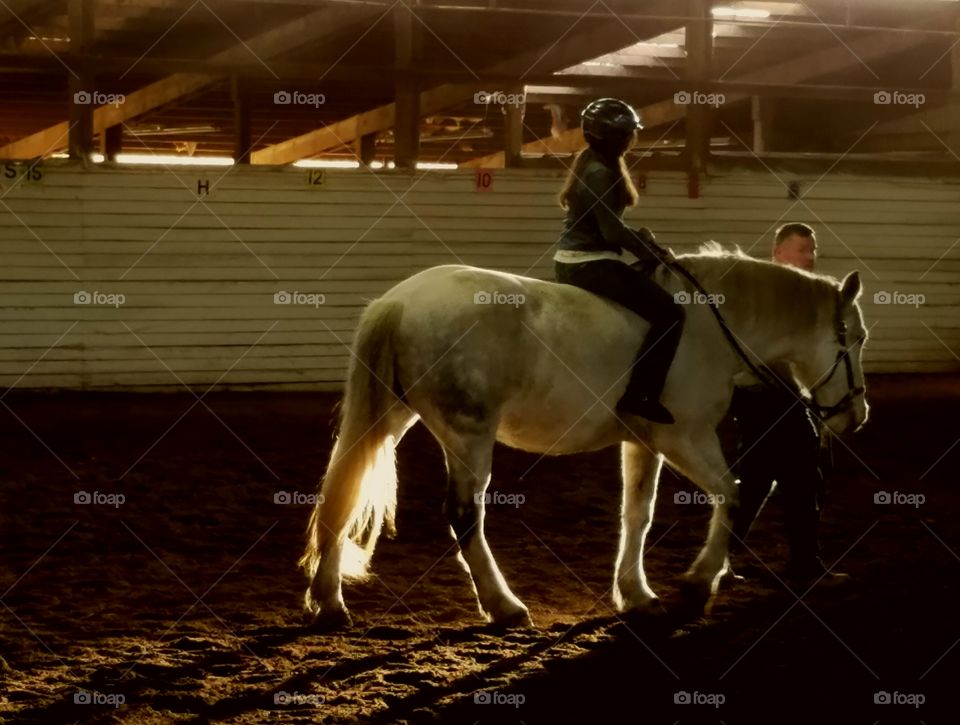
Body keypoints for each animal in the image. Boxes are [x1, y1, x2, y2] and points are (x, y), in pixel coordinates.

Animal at [299, 244, 869, 628]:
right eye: (856, 338)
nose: (856, 414)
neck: (709, 326)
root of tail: (400, 300)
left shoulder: (644, 443)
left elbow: (637, 514)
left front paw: (636, 594)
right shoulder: (686, 437)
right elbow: (734, 493)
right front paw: (696, 584)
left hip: (393, 418)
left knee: (344, 491)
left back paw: (329, 602)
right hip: (467, 434)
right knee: (464, 516)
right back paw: (504, 606)